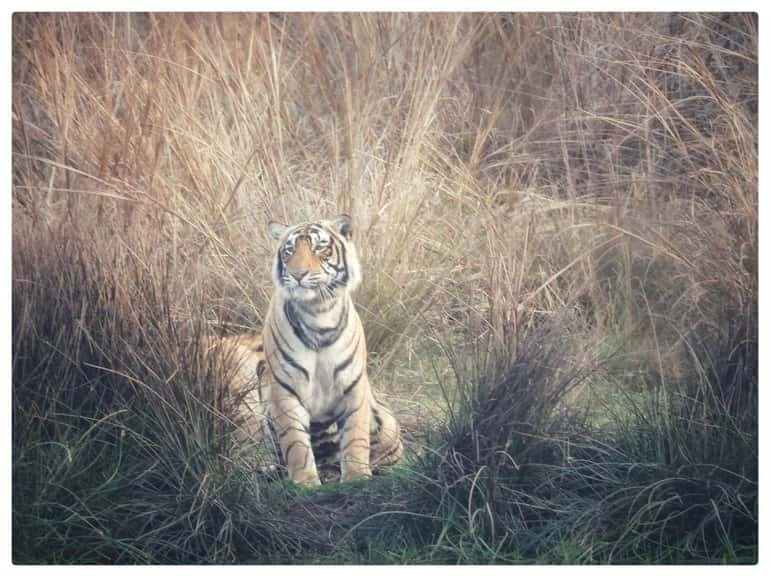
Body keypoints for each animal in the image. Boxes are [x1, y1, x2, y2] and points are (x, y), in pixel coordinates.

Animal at [207, 215, 403, 486]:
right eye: (289, 251)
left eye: (319, 247)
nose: (298, 274)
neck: (318, 313)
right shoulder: (285, 388)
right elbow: (296, 443)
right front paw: (305, 482)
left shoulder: (353, 384)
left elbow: (355, 435)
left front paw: (356, 476)